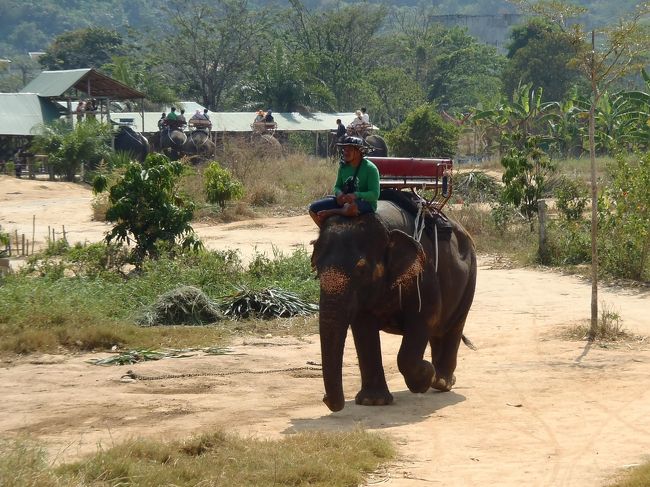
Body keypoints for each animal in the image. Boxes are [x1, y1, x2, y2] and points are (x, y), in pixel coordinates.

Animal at [310, 191, 476, 412]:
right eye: (316, 267)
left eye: (361, 270)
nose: (325, 399)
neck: (385, 226)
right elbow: (363, 326)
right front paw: (373, 402)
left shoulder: (424, 271)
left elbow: (425, 316)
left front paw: (425, 376)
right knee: (439, 330)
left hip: (470, 277)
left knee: (453, 325)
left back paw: (441, 381)